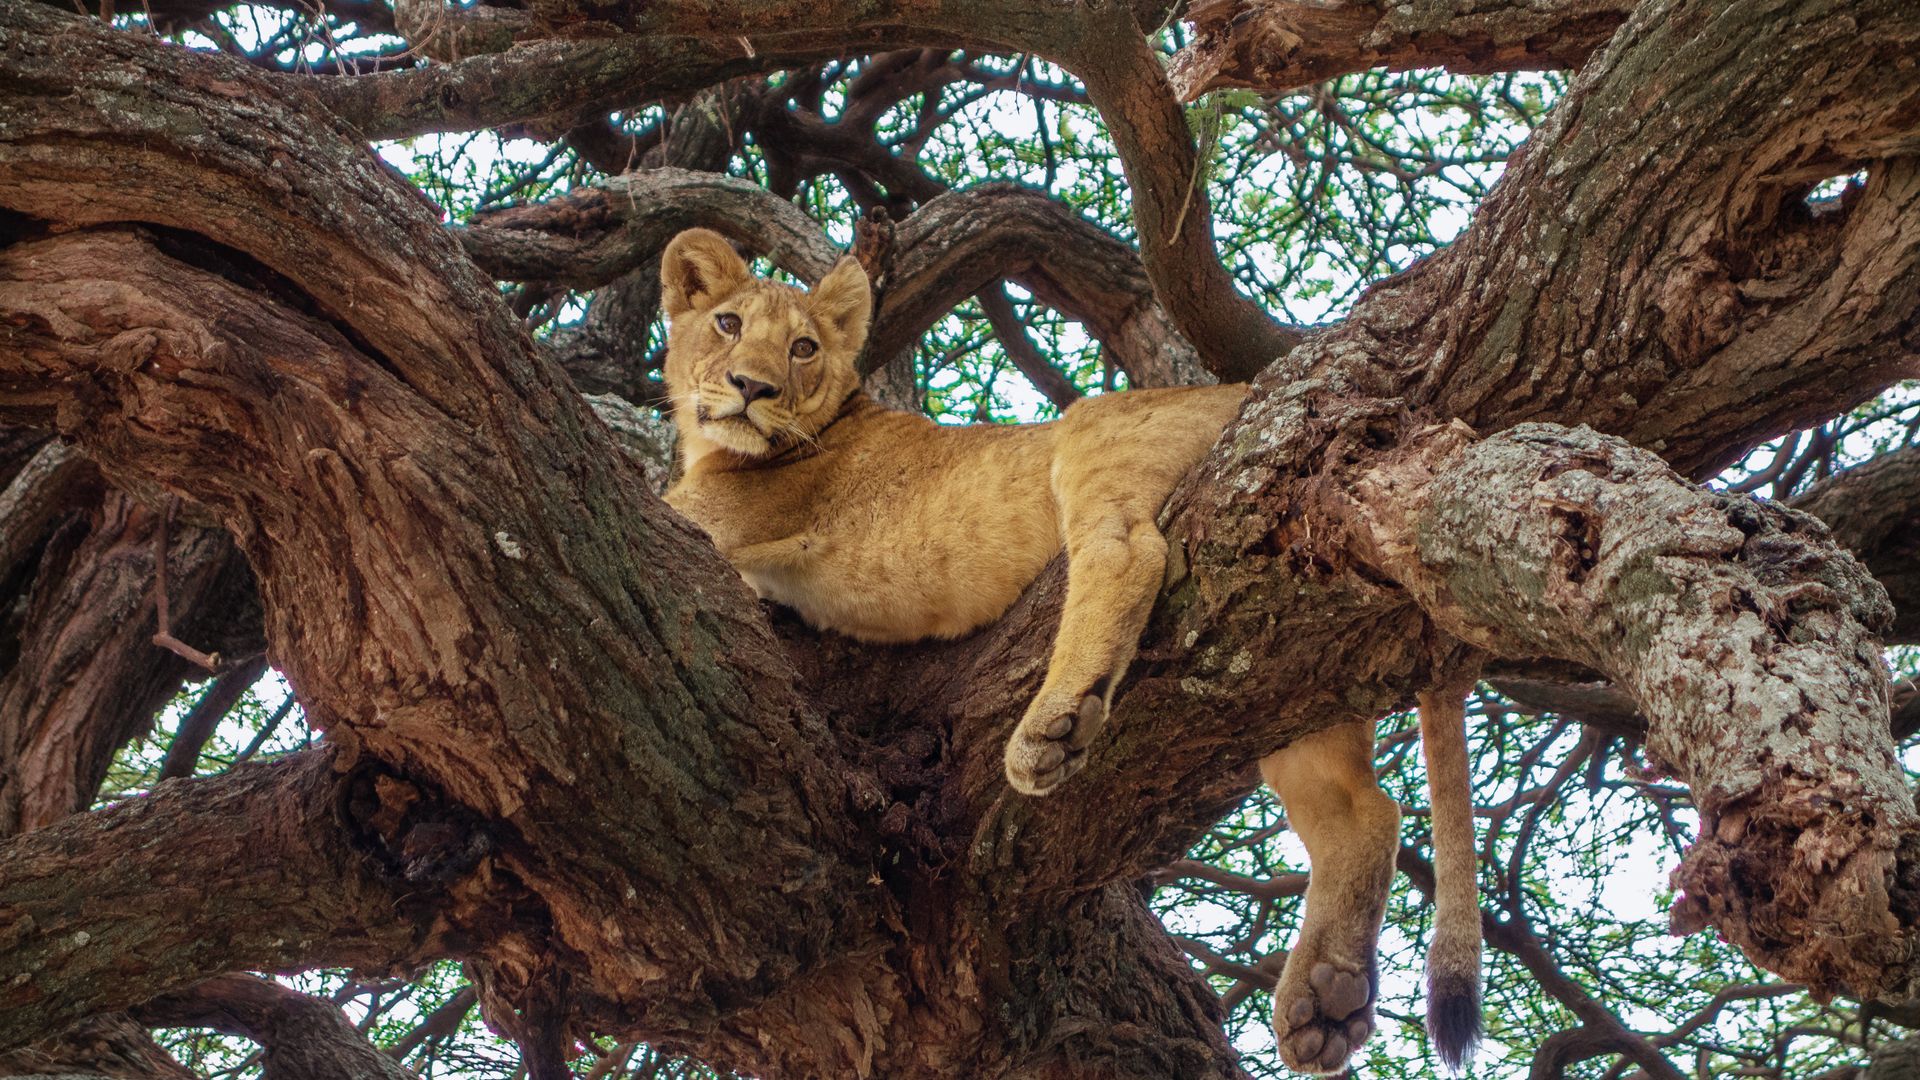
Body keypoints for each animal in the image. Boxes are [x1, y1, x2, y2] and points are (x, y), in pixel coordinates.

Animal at [656, 227, 1482, 1075]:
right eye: (726, 324)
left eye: (804, 348)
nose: (752, 387)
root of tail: (1247, 391)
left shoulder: (712, 520)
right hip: (1292, 678)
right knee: (1365, 810)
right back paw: (1327, 998)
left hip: (1096, 430)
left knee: (1125, 550)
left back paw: (1053, 726)